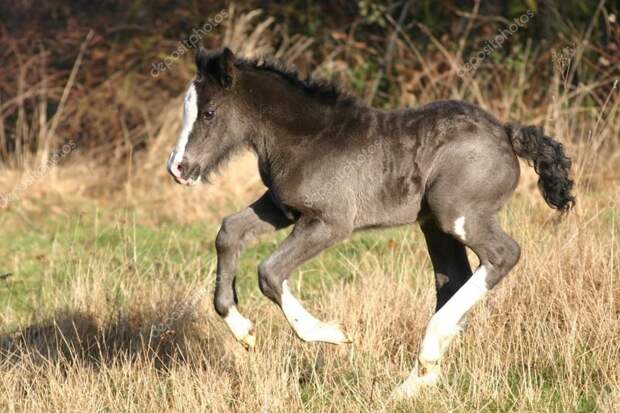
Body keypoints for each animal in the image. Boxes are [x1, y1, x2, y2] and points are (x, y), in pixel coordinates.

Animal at [167, 47, 572, 396]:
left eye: (209, 113)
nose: (178, 168)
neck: (305, 139)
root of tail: (506, 133)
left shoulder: (330, 222)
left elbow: (269, 272)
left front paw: (332, 334)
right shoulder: (281, 208)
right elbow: (228, 232)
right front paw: (243, 331)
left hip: (456, 214)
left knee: (503, 254)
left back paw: (423, 360)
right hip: (433, 224)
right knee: (453, 280)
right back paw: (417, 382)